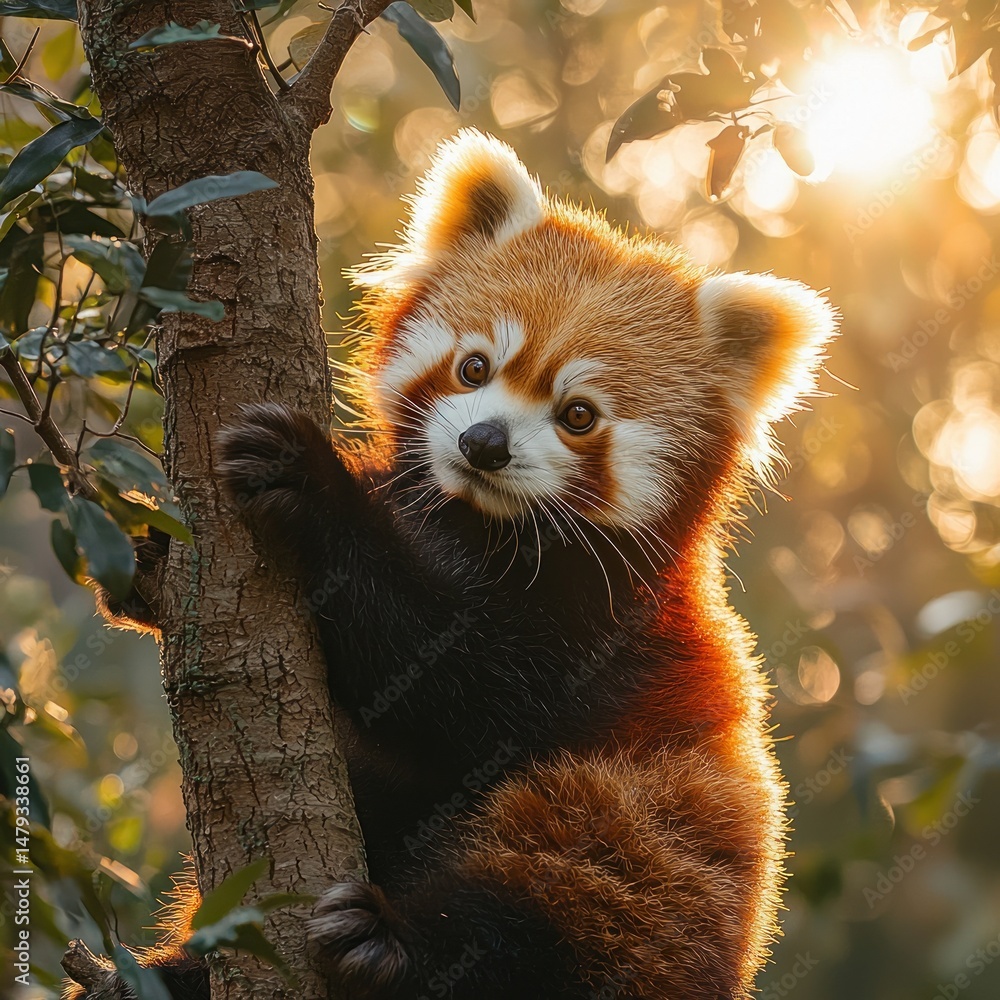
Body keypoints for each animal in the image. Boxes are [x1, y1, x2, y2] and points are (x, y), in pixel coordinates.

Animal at [73, 129, 837, 999]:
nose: (484, 444)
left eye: (579, 415)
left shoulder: (600, 631)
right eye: (475, 368)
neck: (473, 521)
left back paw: (391, 942)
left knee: (551, 916)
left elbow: (455, 681)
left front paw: (310, 483)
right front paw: (149, 556)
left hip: (646, 845)